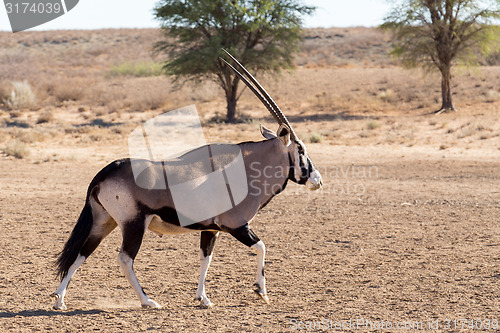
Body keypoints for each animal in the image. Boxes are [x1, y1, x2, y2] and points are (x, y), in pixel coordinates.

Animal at [51, 50, 324, 310]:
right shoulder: (237, 225)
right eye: (300, 149)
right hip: (133, 224)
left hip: (104, 221)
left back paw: (59, 300)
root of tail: (106, 172)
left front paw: (203, 298)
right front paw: (261, 291)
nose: (317, 180)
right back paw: (147, 301)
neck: (247, 168)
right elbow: (261, 247)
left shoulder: (211, 229)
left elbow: (206, 259)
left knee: (82, 252)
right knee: (125, 259)